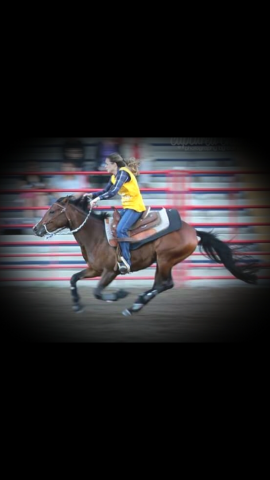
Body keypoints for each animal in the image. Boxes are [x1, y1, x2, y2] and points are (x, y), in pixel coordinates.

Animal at [32, 195, 258, 316]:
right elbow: (73, 278)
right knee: (161, 284)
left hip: (166, 259)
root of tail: (193, 232)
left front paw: (119, 294)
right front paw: (77, 305)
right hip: (162, 261)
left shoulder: (110, 271)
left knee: (165, 284)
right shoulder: (94, 269)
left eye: (52, 211)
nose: (36, 228)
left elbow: (97, 292)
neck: (96, 235)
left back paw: (134, 305)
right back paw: (137, 303)